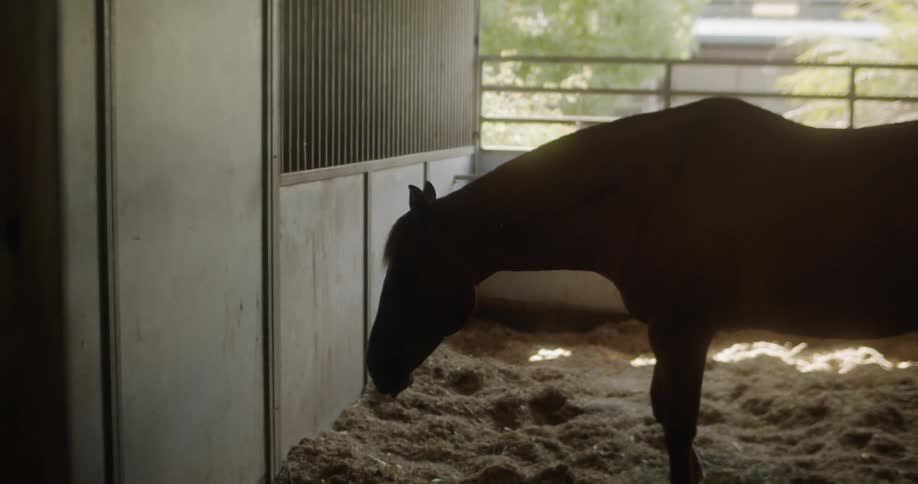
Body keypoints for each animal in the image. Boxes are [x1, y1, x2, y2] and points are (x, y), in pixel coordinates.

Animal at [365, 97, 918, 483]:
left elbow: (678, 423)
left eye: (412, 273)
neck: (650, 191)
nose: (378, 367)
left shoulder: (685, 329)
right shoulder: (667, 332)